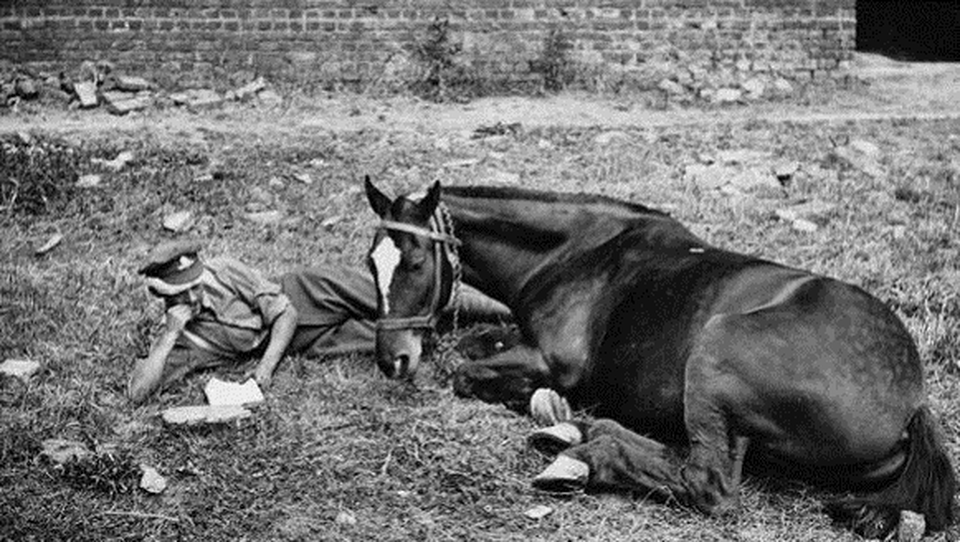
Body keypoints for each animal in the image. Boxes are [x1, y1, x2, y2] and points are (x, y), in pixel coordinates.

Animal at [362, 176, 955, 538]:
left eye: (414, 262)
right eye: (371, 262)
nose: (393, 359)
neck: (574, 251)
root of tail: (913, 404)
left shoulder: (555, 361)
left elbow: (467, 373)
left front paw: (542, 401)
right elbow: (477, 346)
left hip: (715, 351)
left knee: (706, 483)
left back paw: (583, 452)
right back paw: (578, 431)